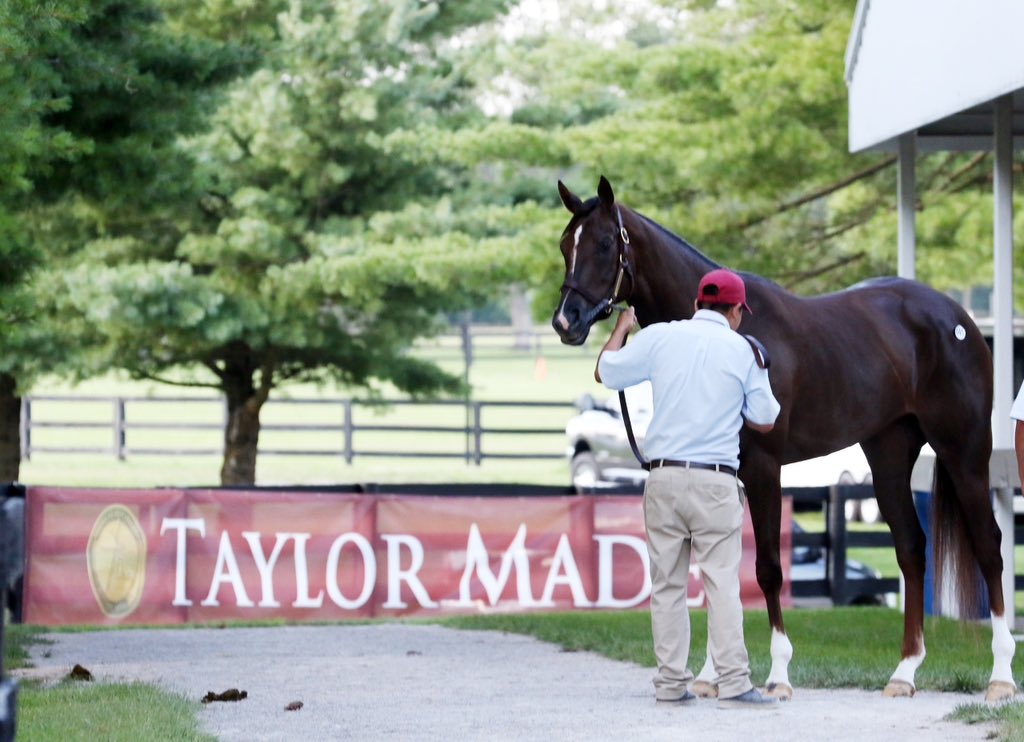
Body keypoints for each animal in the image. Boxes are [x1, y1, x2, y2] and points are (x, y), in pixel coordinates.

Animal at [551, 176, 1016, 702]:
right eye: (566, 245)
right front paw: (711, 675)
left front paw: (776, 676)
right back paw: (904, 672)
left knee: (989, 546)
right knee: (911, 550)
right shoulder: (727, 474)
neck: (729, 330)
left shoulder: (763, 468)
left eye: (605, 243)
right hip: (889, 456)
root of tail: (958, 318)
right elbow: (721, 572)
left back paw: (1001, 677)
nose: (566, 321)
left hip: (965, 451)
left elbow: (768, 569)